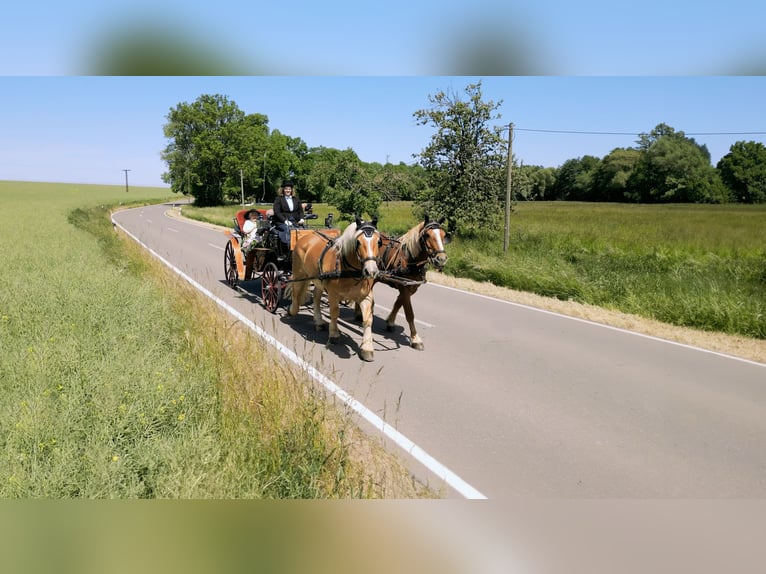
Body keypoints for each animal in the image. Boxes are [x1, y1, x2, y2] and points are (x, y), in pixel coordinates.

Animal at [290, 218, 382, 362]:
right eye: (358, 242)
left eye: (378, 242)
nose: (371, 271)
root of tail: (306, 237)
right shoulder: (333, 294)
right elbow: (334, 313)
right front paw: (334, 334)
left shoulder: (366, 296)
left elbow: (368, 320)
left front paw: (367, 347)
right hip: (299, 273)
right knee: (295, 288)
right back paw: (293, 310)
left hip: (318, 280)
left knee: (316, 297)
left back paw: (318, 321)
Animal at [358, 215, 452, 352]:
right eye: (427, 235)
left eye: (443, 234)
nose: (441, 259)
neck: (409, 258)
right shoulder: (405, 288)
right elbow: (409, 313)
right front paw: (415, 338)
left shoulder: (410, 287)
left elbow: (398, 303)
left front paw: (390, 322)